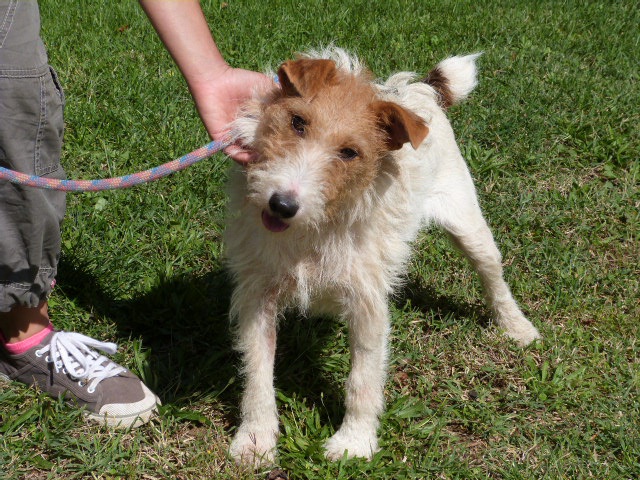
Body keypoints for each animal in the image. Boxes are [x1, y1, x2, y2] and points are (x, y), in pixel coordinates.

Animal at [222, 47, 544, 464]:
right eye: (297, 123)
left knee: (493, 276)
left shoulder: (367, 303)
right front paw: (256, 438)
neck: (317, 227)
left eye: (349, 152)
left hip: (470, 227)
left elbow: (363, 380)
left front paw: (354, 442)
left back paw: (516, 326)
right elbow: (257, 371)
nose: (282, 205)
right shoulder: (258, 296)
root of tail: (422, 90)